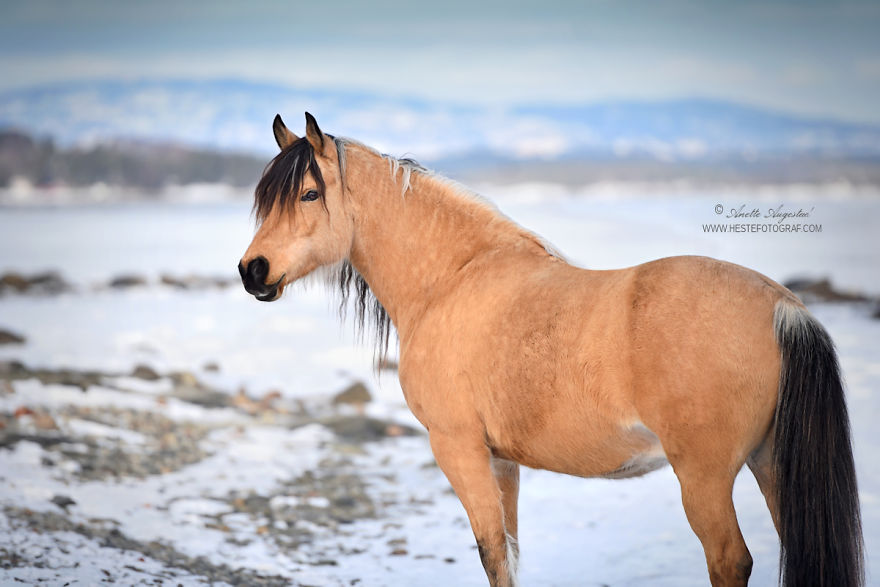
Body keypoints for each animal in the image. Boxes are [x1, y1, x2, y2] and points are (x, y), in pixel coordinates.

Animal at [238, 113, 864, 587]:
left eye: (310, 193)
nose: (253, 271)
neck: (453, 281)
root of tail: (784, 308)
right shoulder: (501, 461)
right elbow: (510, 554)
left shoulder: (459, 449)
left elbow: (493, 554)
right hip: (770, 463)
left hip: (705, 478)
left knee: (729, 561)